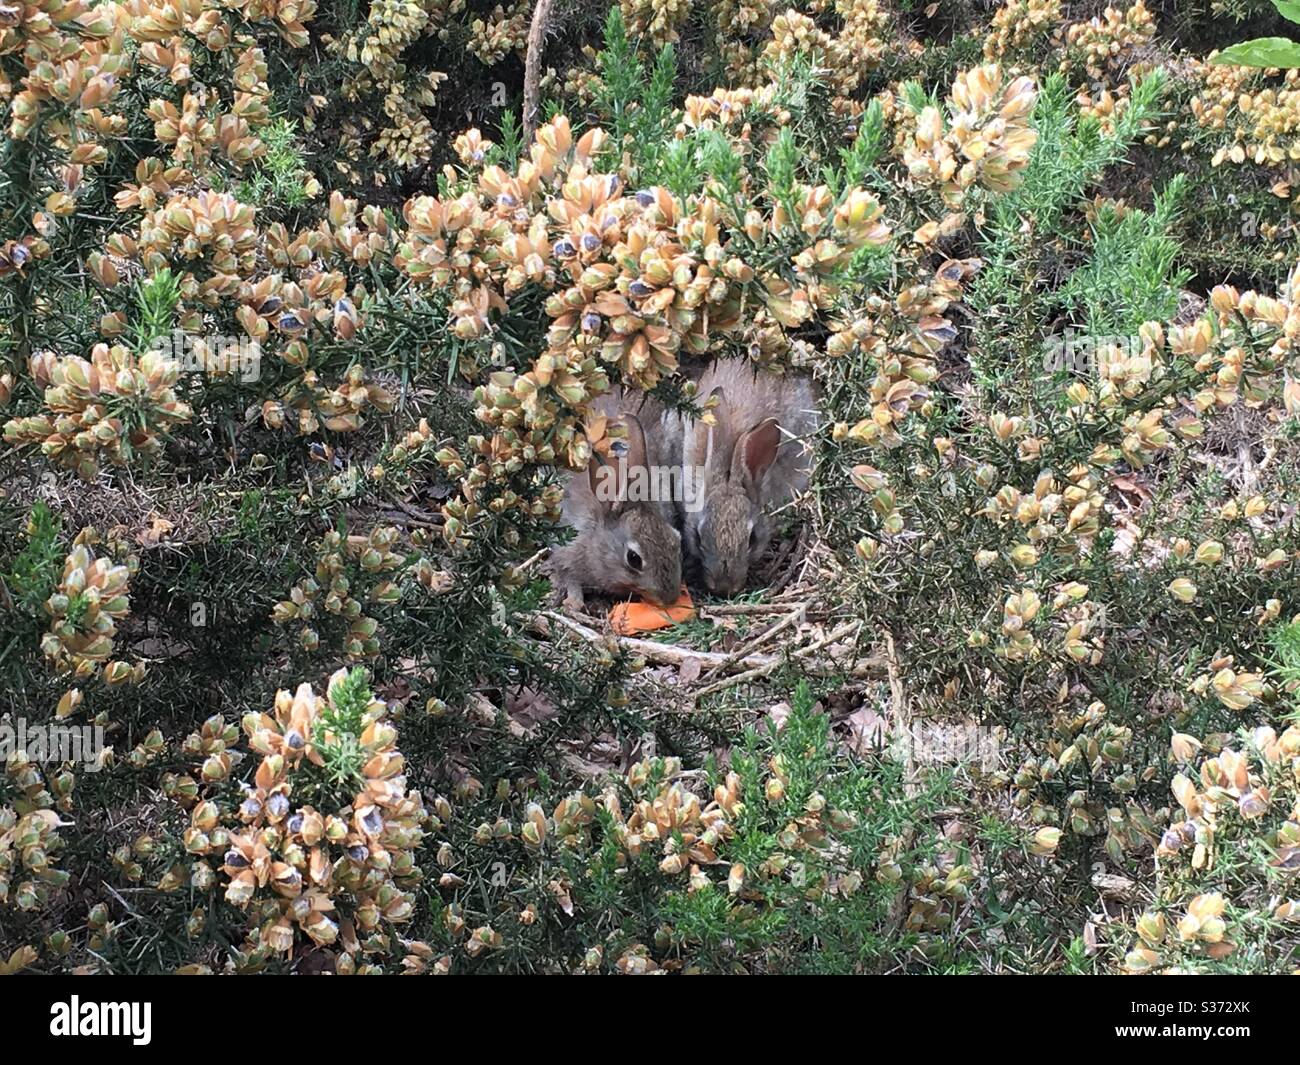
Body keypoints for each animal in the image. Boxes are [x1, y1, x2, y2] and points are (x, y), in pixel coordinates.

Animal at [549, 388, 683, 612]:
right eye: (634, 559)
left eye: (676, 540)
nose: (670, 599)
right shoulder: (566, 550)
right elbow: (569, 576)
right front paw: (574, 602)